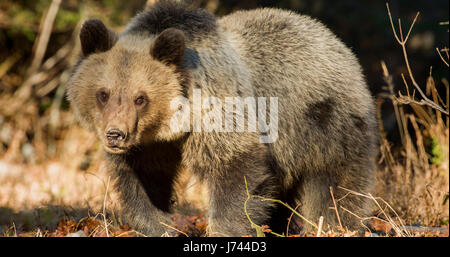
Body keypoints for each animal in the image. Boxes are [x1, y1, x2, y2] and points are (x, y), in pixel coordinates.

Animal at [66, 0, 376, 236]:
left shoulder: (220, 108)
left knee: (337, 186)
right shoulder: (149, 147)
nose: (115, 135)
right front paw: (158, 225)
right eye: (103, 94)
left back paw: (336, 225)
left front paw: (226, 228)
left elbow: (235, 170)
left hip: (325, 123)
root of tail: (336, 42)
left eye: (140, 98)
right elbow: (144, 182)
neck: (173, 125)